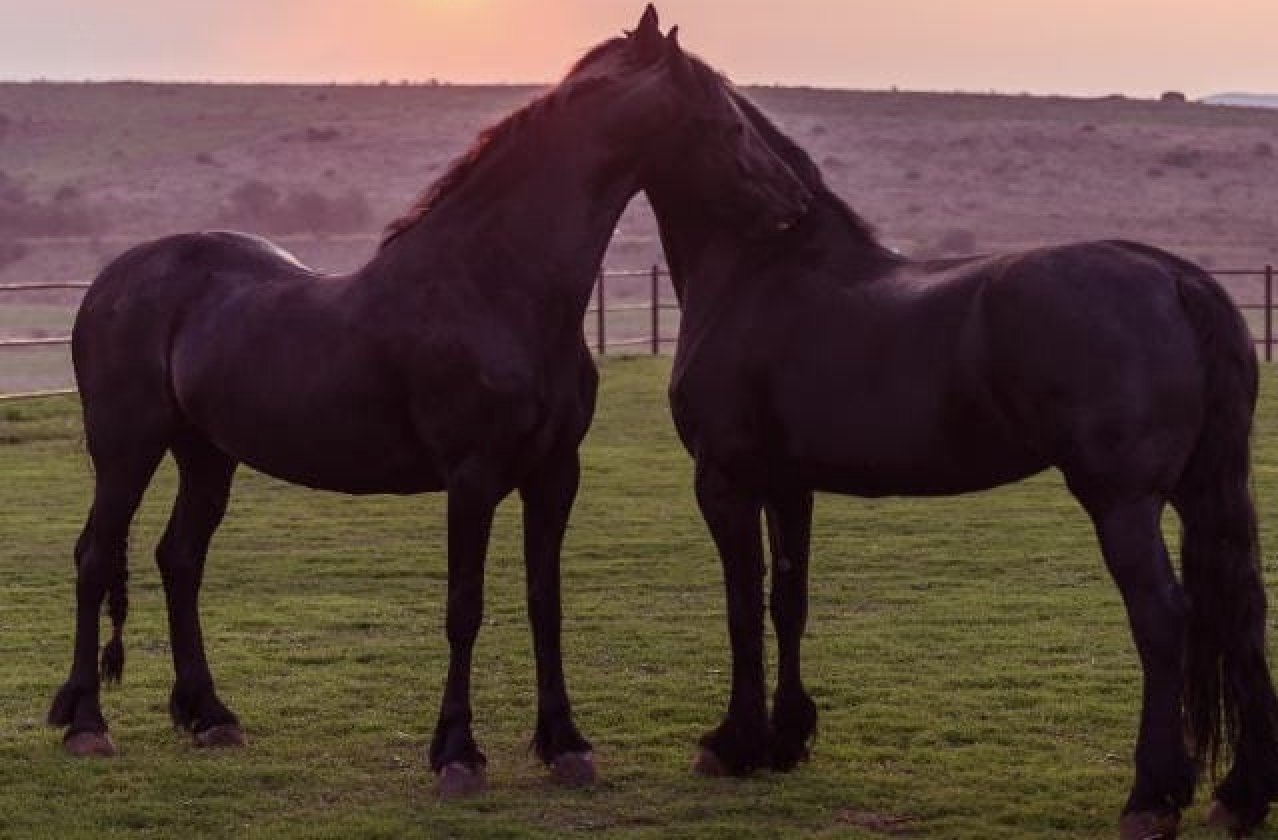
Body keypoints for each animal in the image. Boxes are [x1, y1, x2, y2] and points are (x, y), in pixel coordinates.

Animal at [47, 5, 808, 796]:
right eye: (726, 122)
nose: (795, 203)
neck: (494, 286)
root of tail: (111, 281)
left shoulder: (554, 473)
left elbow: (545, 602)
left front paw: (564, 744)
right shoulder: (471, 478)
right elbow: (464, 607)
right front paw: (457, 754)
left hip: (206, 455)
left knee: (180, 558)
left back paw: (209, 715)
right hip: (126, 448)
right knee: (95, 556)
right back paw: (86, 724)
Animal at [640, 33, 1278, 840]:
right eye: (717, 118)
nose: (783, 199)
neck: (762, 271)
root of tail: (1172, 278)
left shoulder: (725, 481)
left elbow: (740, 605)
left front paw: (732, 745)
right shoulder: (789, 485)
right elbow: (787, 602)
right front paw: (784, 741)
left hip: (1124, 503)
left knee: (1165, 618)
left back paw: (1151, 797)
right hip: (1203, 494)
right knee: (1240, 610)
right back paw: (1242, 794)